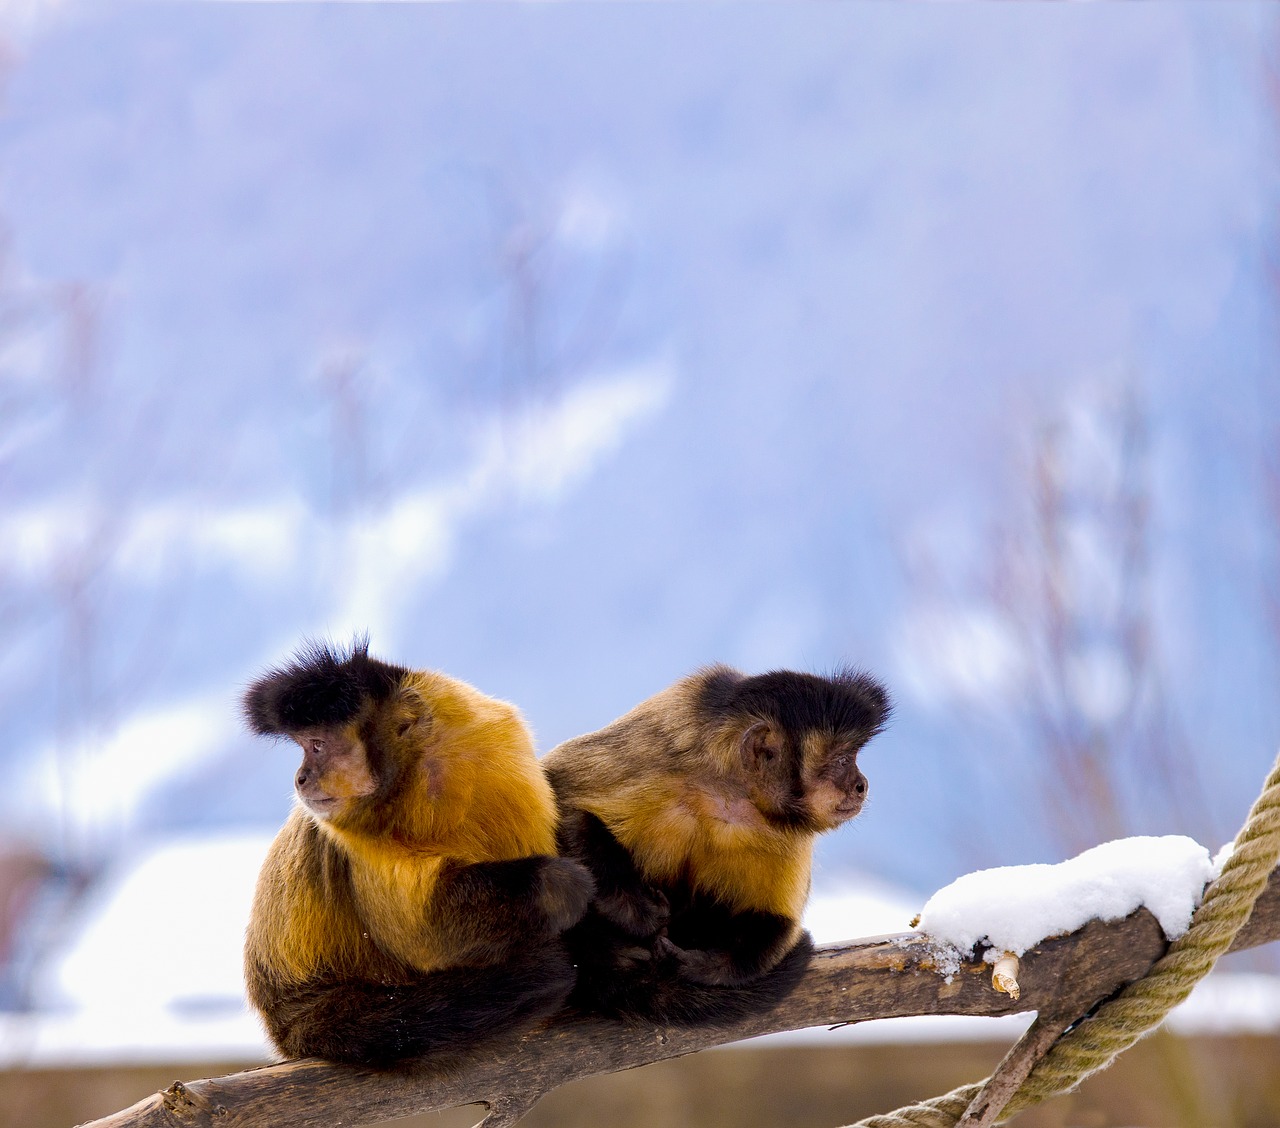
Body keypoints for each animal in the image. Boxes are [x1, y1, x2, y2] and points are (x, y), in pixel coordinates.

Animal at [241, 642, 591, 1065]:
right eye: (304, 747)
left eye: (316, 745)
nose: (300, 778)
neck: (419, 773)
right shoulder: (352, 829)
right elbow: (421, 935)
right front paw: (559, 886)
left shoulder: (493, 744)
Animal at [542, 660, 890, 1019]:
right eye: (843, 760)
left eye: (852, 757)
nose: (861, 784)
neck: (728, 792)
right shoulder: (665, 748)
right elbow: (564, 799)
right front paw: (636, 910)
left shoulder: (783, 829)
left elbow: (778, 922)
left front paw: (705, 966)